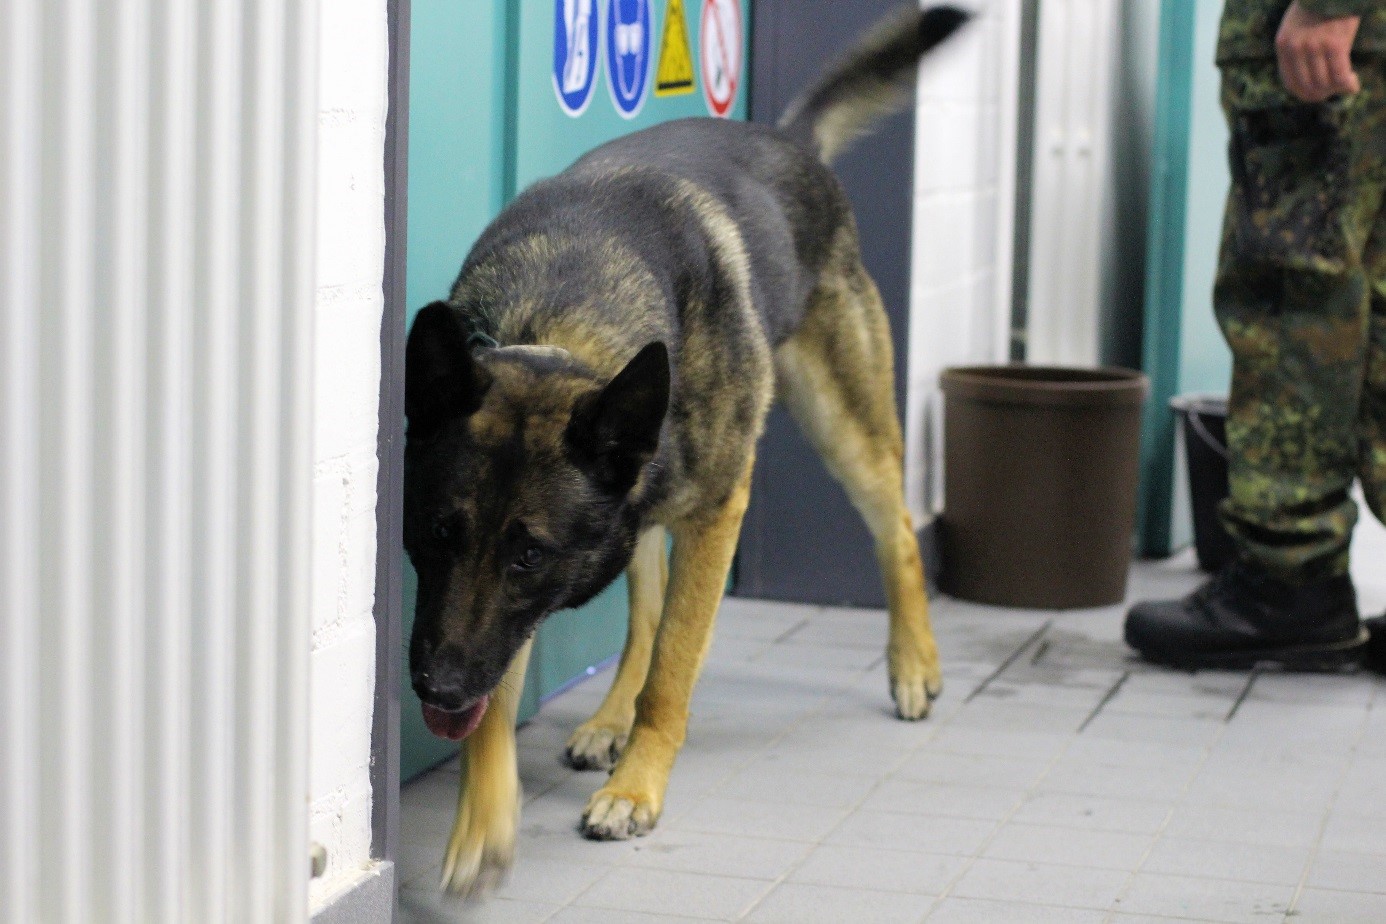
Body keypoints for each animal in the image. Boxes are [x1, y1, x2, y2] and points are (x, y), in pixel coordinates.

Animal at [401, 5, 964, 897]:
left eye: (530, 556)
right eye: (435, 535)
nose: (438, 686)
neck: (568, 324)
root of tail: (787, 139)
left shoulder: (716, 513)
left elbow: (673, 670)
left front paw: (637, 787)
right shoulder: (509, 600)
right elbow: (526, 684)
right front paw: (482, 824)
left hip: (842, 425)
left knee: (897, 531)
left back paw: (913, 664)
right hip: (643, 491)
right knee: (647, 608)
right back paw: (607, 718)